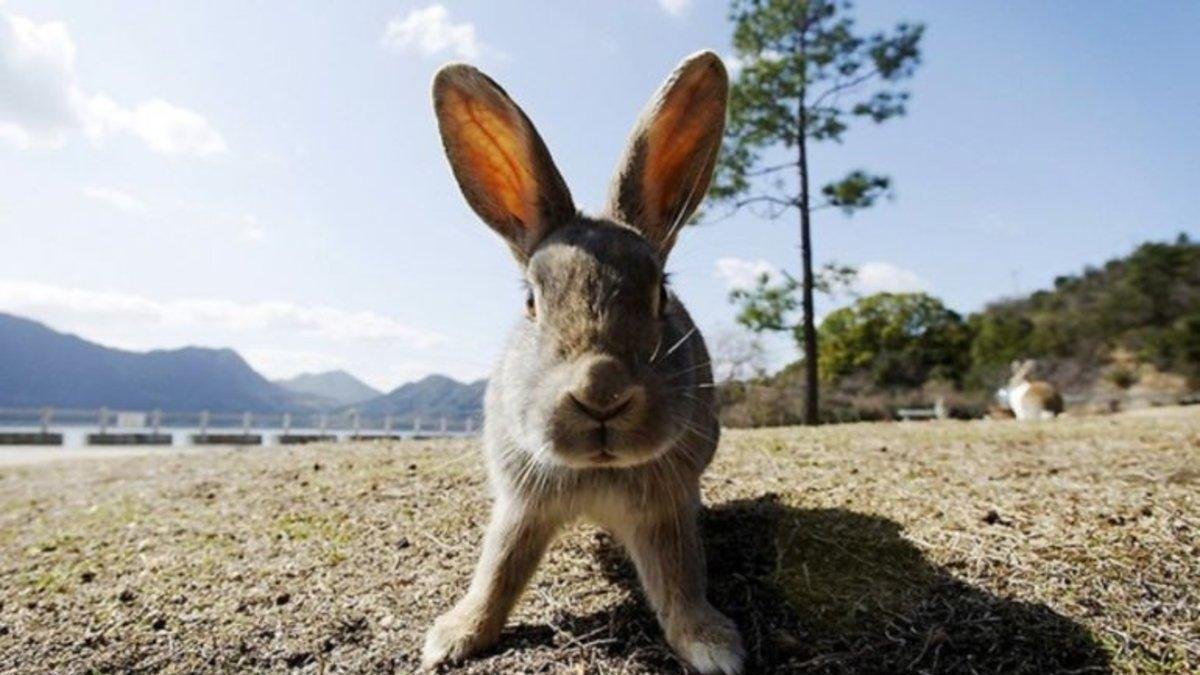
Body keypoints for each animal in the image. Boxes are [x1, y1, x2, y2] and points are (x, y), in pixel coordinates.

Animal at [422, 51, 743, 674]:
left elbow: (680, 579)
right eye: (531, 301)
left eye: (660, 294)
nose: (601, 390)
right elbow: (498, 571)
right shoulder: (522, 504)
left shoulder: (665, 509)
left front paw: (713, 646)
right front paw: (453, 638)